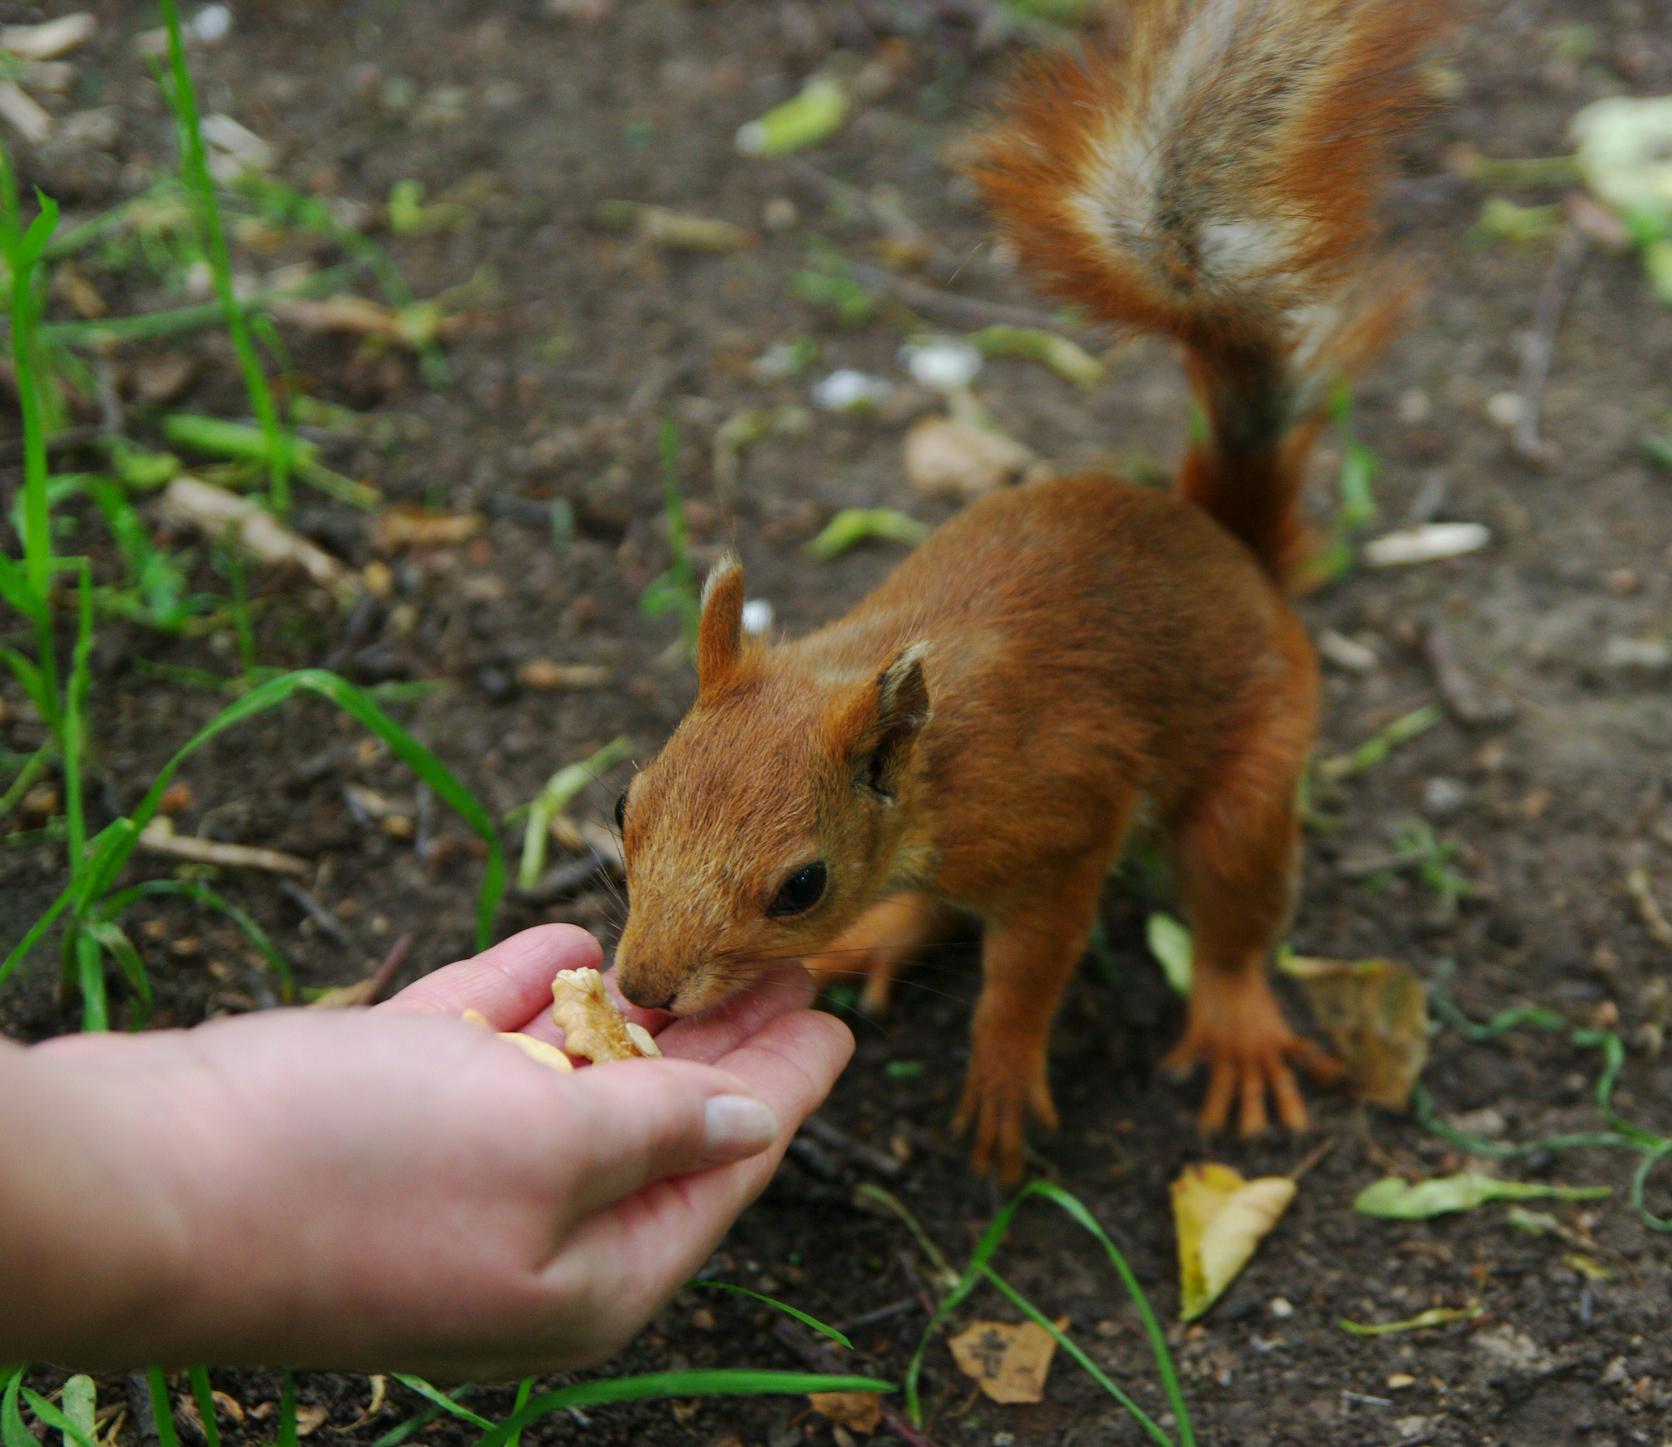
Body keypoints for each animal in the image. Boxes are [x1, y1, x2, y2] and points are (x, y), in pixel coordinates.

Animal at [611, 0, 1451, 1177]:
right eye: (626, 808)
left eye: (799, 885)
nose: (642, 989)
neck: (935, 769)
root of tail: (1227, 543)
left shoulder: (1064, 831)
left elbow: (1027, 972)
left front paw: (1002, 1081)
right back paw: (884, 936)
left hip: (1252, 766)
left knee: (1231, 914)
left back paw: (1235, 1025)